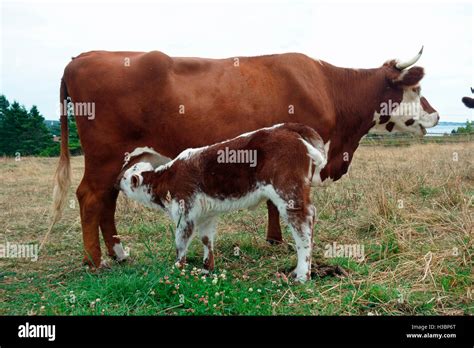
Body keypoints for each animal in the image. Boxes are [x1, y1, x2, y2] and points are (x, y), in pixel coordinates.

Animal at [46, 47, 438, 268]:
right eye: (416, 88)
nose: (435, 116)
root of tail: (83, 57)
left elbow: (273, 205)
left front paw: (274, 240)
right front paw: (283, 243)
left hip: (122, 158)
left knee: (108, 199)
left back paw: (119, 253)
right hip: (105, 156)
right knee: (90, 197)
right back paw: (94, 261)